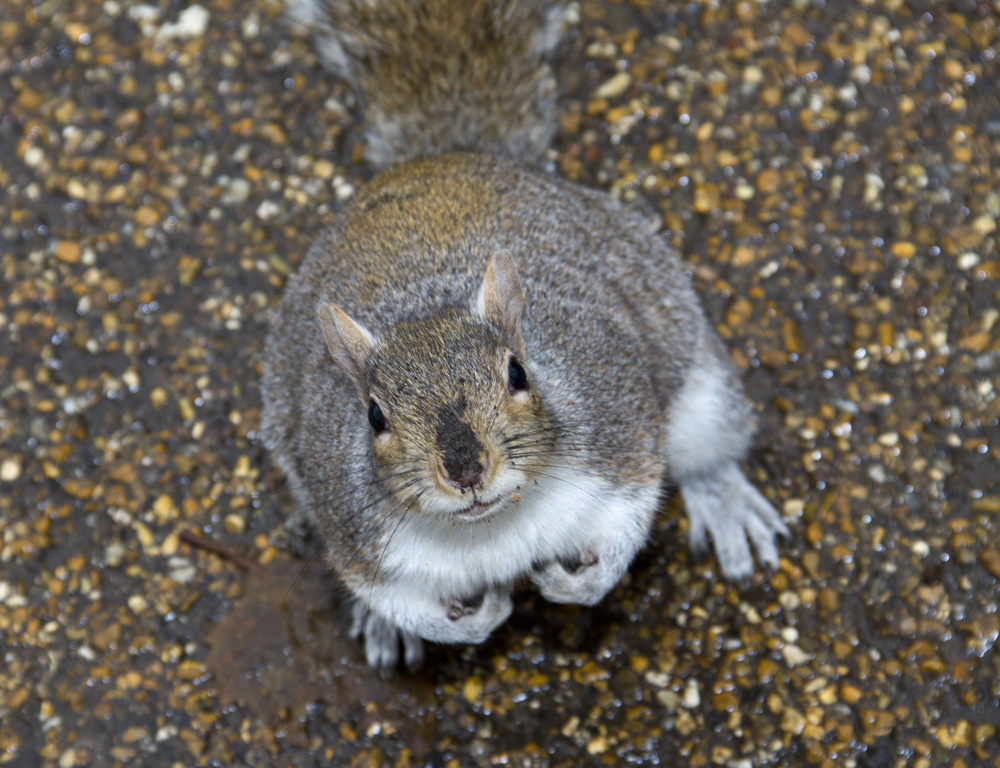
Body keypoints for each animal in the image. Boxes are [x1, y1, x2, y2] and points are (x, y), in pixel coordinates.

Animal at [262, 0, 792, 672]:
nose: (466, 471)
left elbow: (627, 527)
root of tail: (446, 158)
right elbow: (399, 599)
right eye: (374, 417)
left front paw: (577, 583)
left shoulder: (619, 446)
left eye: (518, 372)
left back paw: (725, 500)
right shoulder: (362, 543)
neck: (495, 524)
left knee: (707, 446)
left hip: (696, 380)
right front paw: (467, 621)